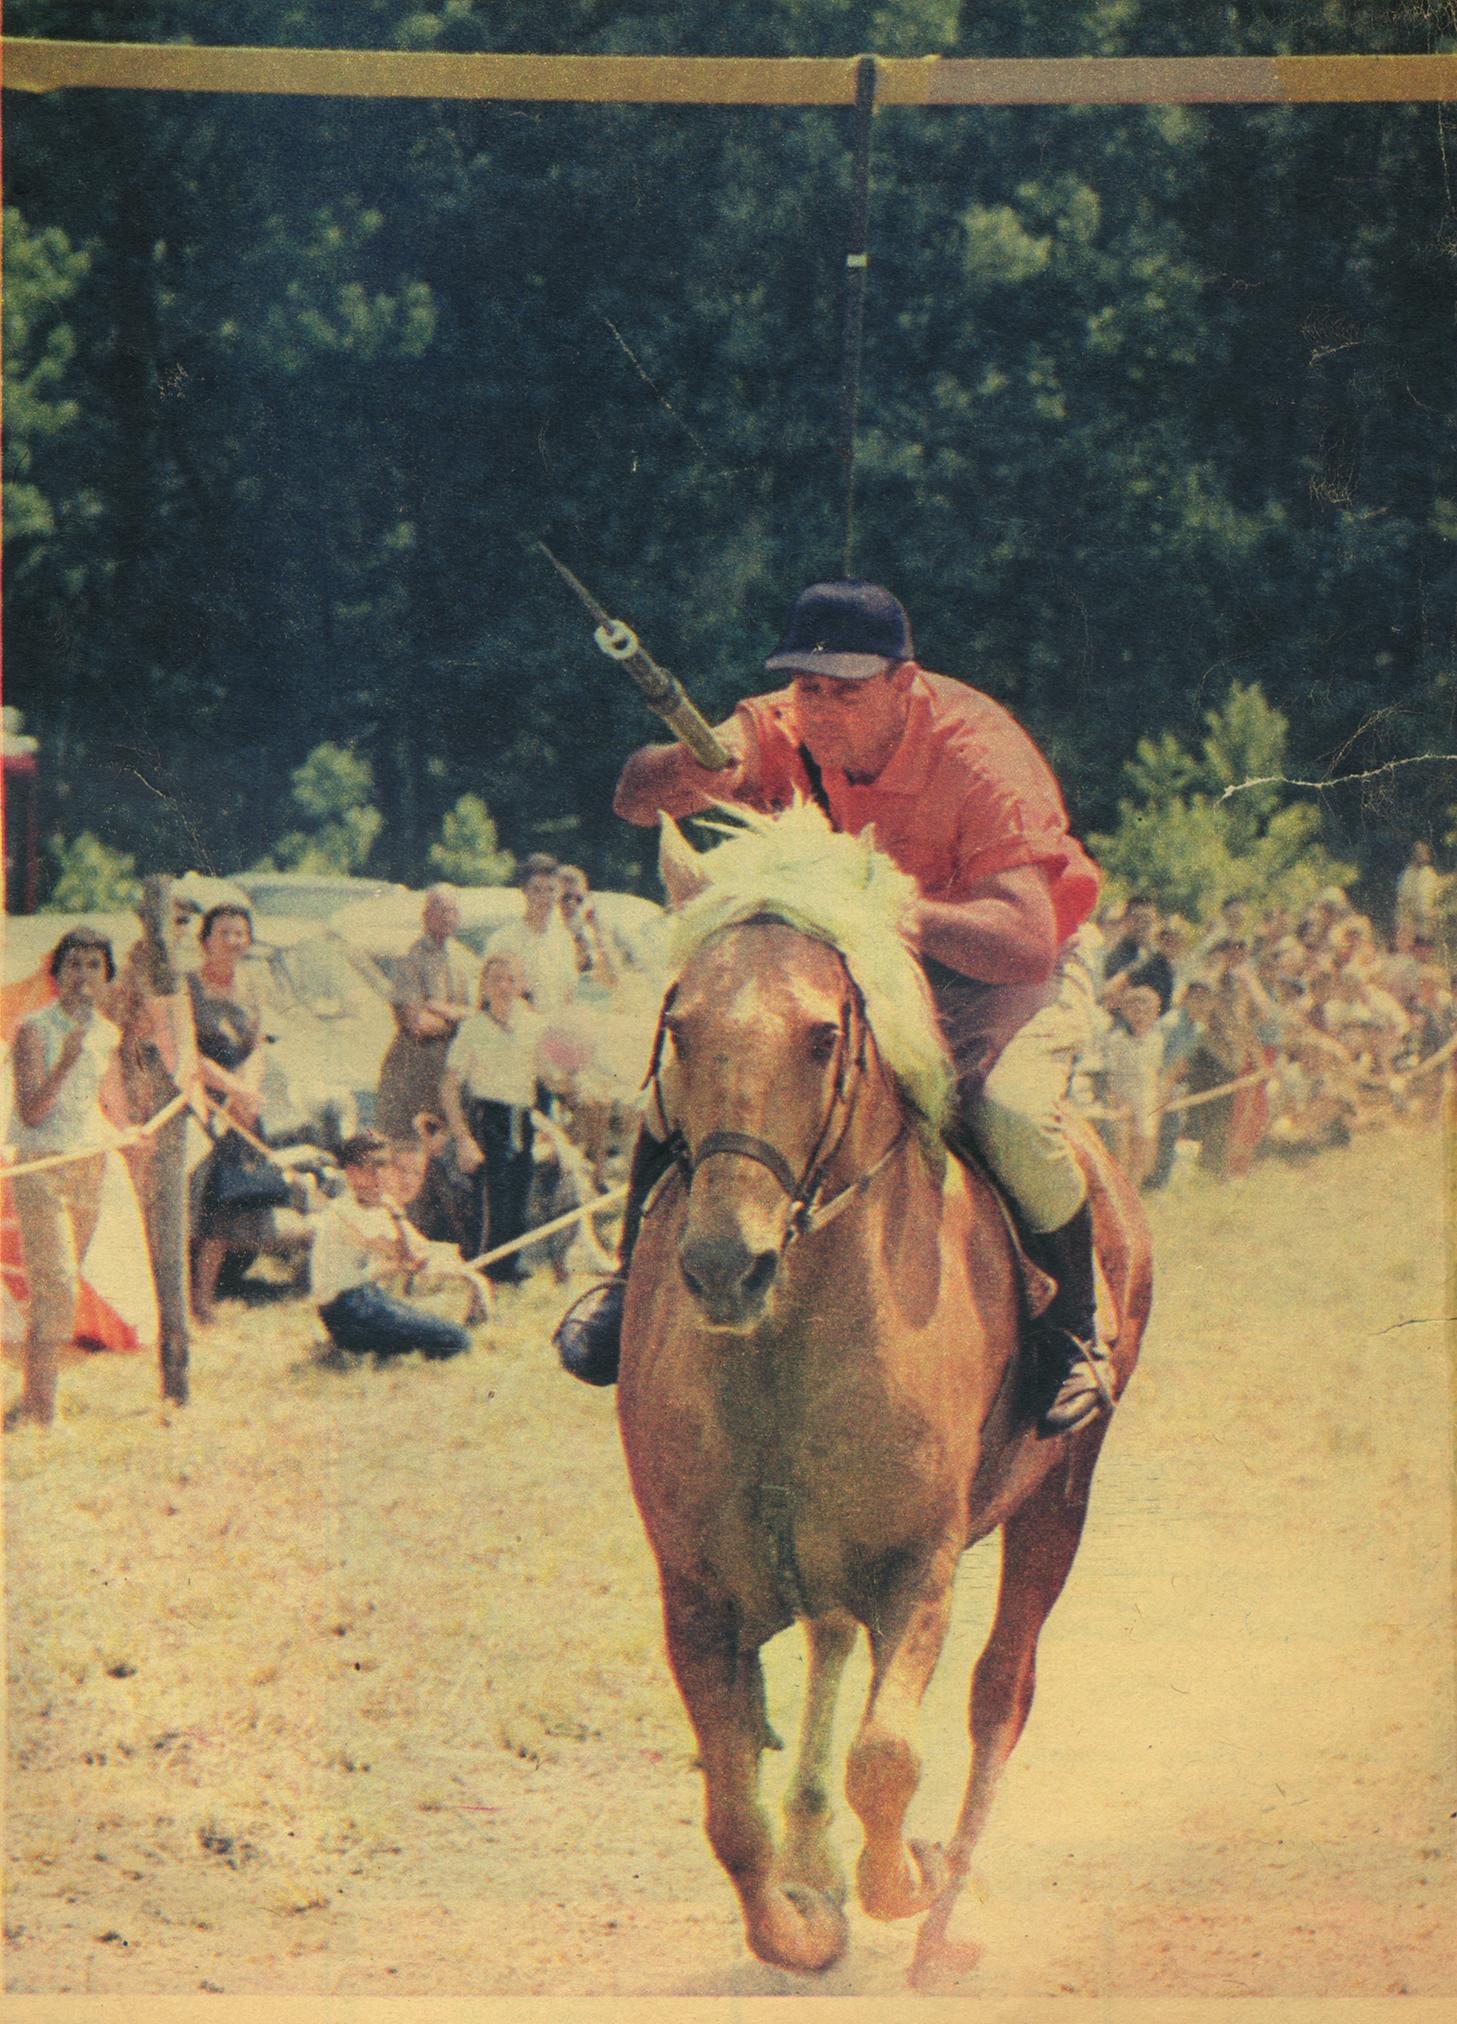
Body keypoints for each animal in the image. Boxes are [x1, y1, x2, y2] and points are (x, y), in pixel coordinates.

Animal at [615, 803, 1152, 1985]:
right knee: (826, 1654)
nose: (722, 1265)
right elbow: (732, 1814)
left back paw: (947, 1903)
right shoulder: (698, 1595)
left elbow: (887, 1758)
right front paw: (803, 1914)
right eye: (681, 1028)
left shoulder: (919, 1566)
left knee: (1000, 1693)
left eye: (822, 1035)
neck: (781, 1348)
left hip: (1057, 1501)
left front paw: (904, 1872)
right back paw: (820, 1852)